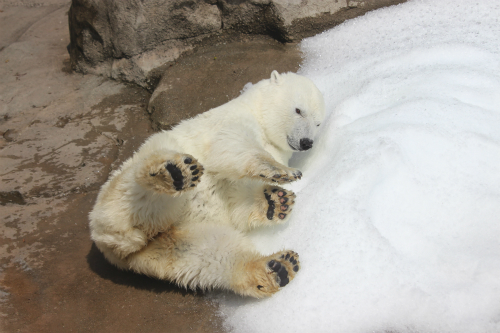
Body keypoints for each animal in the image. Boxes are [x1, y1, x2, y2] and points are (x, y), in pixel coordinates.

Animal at [89, 70, 324, 296]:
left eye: (318, 123)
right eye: (298, 110)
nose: (306, 142)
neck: (256, 111)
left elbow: (235, 199)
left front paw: (276, 201)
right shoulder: (229, 121)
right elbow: (230, 145)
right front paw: (282, 172)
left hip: (180, 237)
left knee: (209, 253)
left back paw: (278, 267)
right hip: (119, 194)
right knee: (135, 194)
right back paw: (174, 173)